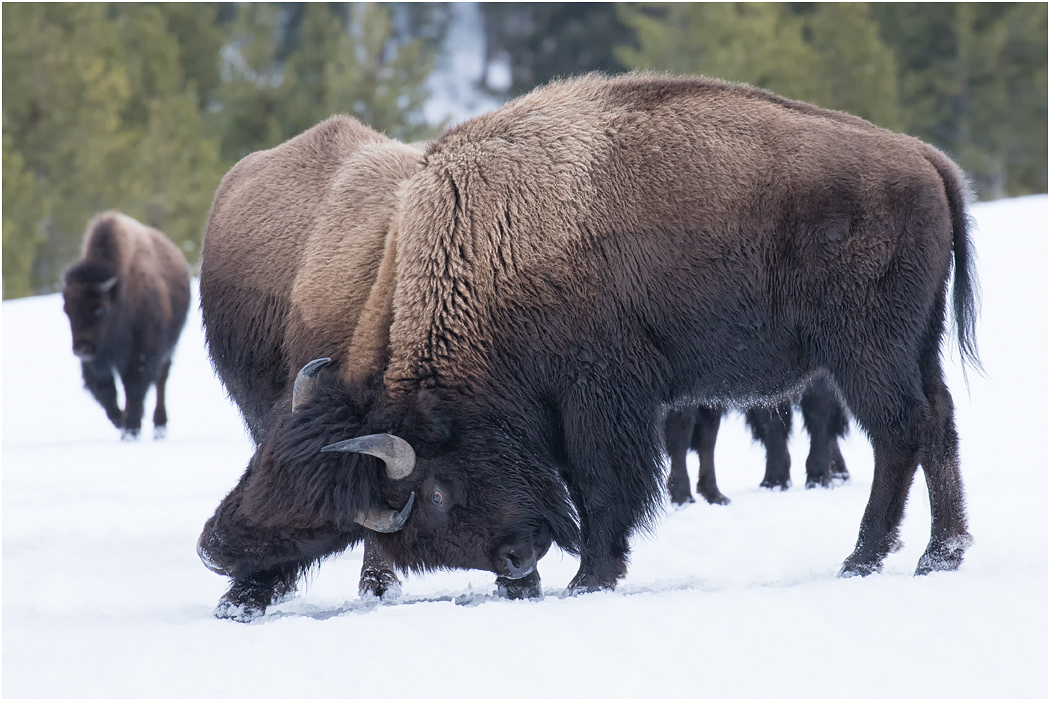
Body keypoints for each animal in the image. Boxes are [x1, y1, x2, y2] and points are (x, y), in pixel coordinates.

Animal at [62, 211, 190, 439]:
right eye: (67, 310)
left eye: (99, 309)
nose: (81, 349)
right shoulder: (98, 363)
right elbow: (106, 392)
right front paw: (121, 422)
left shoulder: (142, 354)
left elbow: (134, 388)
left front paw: (131, 429)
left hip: (168, 348)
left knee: (161, 381)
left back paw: (159, 426)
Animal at [198, 72, 979, 619]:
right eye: (261, 463)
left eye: (436, 492)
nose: (516, 558)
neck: (488, 247)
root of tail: (925, 158)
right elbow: (583, 481)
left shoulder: (601, 397)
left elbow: (604, 486)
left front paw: (588, 579)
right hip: (914, 347)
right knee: (937, 422)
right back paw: (940, 554)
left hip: (865, 354)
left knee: (901, 431)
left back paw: (867, 558)